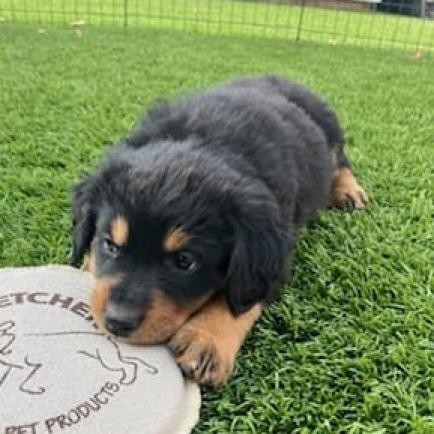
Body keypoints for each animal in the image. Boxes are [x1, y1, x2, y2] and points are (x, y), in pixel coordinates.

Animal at [70, 75, 366, 386]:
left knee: (342, 162)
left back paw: (349, 192)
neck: (207, 142)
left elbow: (240, 294)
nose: (117, 322)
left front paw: (206, 340)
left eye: (184, 262)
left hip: (331, 132)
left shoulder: (275, 254)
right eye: (109, 245)